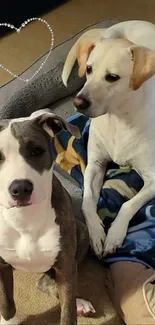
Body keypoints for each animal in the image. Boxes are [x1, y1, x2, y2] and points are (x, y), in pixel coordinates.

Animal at [0, 109, 94, 324]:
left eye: (36, 151)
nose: (20, 188)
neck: (25, 219)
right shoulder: (0, 266)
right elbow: (6, 303)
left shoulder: (66, 267)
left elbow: (67, 313)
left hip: (81, 233)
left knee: (45, 282)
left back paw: (79, 303)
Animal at [61, 20, 155, 258]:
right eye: (88, 69)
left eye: (112, 77)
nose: (78, 102)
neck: (118, 119)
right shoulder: (94, 165)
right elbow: (86, 202)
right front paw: (96, 234)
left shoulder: (154, 179)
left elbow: (128, 205)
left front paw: (114, 235)